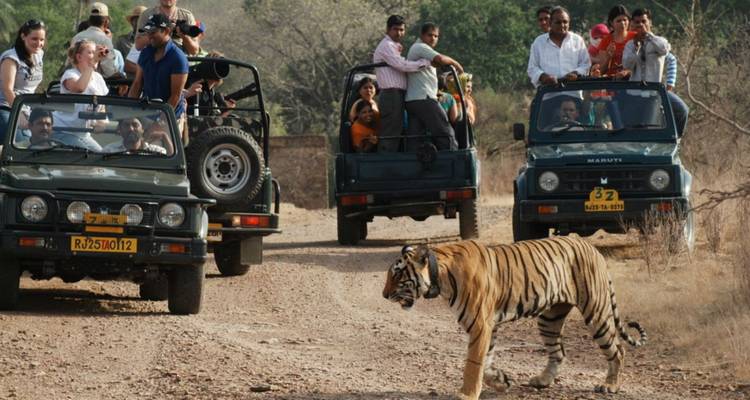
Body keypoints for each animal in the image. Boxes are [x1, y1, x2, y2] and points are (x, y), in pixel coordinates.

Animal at [382, 236, 646, 400]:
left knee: (617, 350)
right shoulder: (489, 326)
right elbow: (486, 361)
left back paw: (610, 385)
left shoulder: (480, 324)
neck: (441, 276)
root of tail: (592, 247)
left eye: (397, 275)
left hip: (596, 311)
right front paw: (501, 381)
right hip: (549, 318)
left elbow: (473, 363)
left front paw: (467, 393)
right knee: (559, 352)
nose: (384, 295)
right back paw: (542, 380)